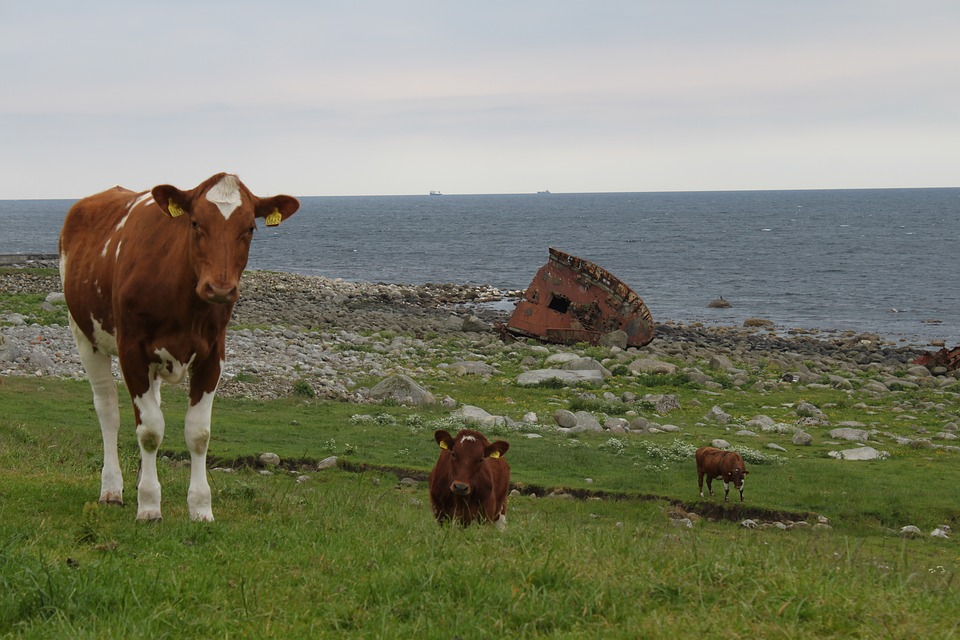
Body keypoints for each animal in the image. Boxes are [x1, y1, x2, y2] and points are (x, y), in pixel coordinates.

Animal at [58, 174, 298, 520]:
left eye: (250, 227)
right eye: (195, 222)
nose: (220, 288)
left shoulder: (213, 354)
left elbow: (198, 433)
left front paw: (200, 507)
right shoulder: (132, 349)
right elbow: (150, 430)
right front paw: (149, 505)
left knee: (151, 405)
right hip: (83, 333)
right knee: (108, 409)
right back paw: (112, 489)